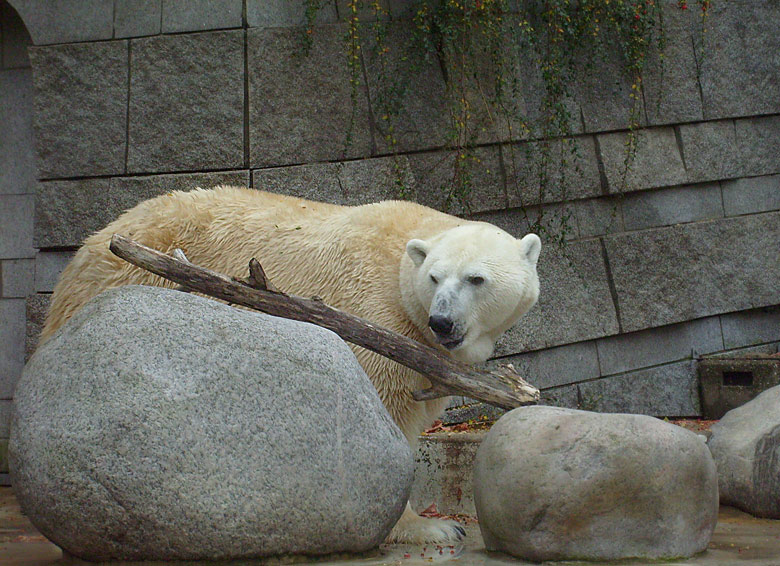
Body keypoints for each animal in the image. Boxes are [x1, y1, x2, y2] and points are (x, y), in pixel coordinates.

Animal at [39, 186, 540, 544]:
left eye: (476, 278)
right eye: (435, 277)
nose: (442, 321)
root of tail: (94, 241)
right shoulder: (378, 315)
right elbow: (386, 416)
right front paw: (430, 526)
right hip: (130, 278)